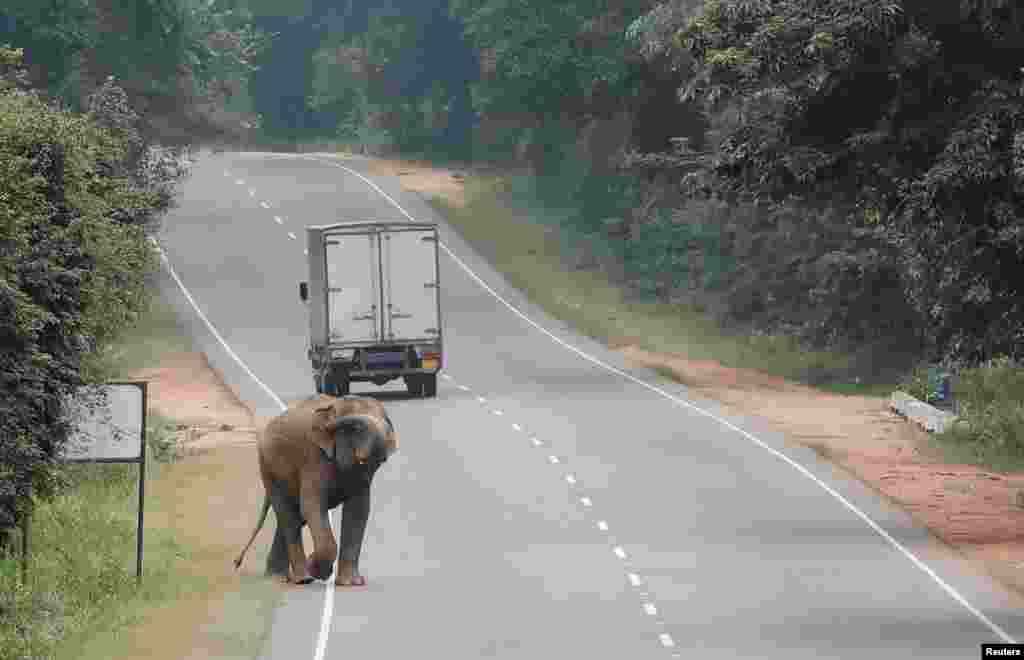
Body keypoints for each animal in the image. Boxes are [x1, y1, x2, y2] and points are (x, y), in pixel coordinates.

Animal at [232, 392, 395, 585]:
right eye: (356, 429)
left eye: (388, 426)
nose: (235, 562)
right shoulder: (314, 457)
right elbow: (313, 506)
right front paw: (318, 569)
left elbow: (358, 511)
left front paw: (351, 583)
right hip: (269, 468)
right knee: (289, 517)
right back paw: (301, 578)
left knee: (293, 517)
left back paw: (278, 576)